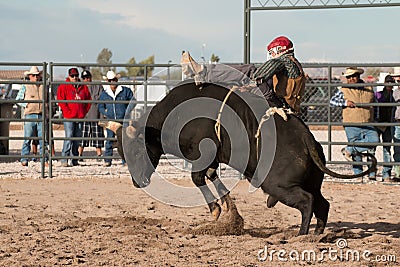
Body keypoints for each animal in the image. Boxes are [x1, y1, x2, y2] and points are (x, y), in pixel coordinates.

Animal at [99, 82, 376, 237]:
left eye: (136, 151)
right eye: (122, 153)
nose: (137, 182)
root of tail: (306, 138)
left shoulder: (202, 154)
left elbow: (198, 178)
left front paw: (217, 210)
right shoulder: (212, 160)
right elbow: (211, 177)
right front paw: (230, 213)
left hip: (278, 184)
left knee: (308, 202)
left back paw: (301, 234)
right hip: (310, 182)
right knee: (322, 204)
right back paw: (317, 235)